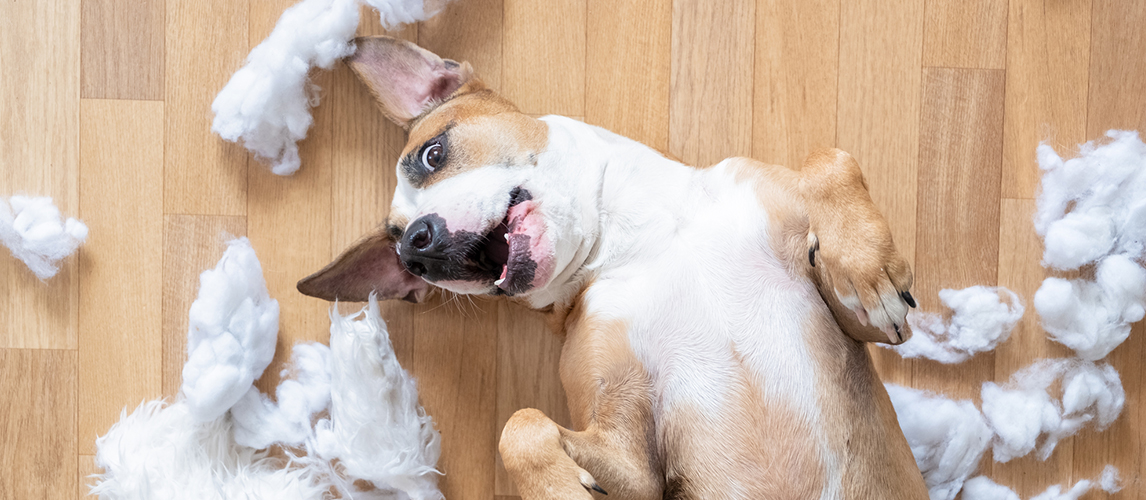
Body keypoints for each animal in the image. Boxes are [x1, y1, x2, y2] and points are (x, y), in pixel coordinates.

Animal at [297, 36, 930, 499]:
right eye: (400, 250)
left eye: (431, 154)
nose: (416, 250)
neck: (644, 241)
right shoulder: (634, 461)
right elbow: (520, 425)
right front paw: (558, 491)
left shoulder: (861, 329)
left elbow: (830, 159)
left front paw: (867, 271)